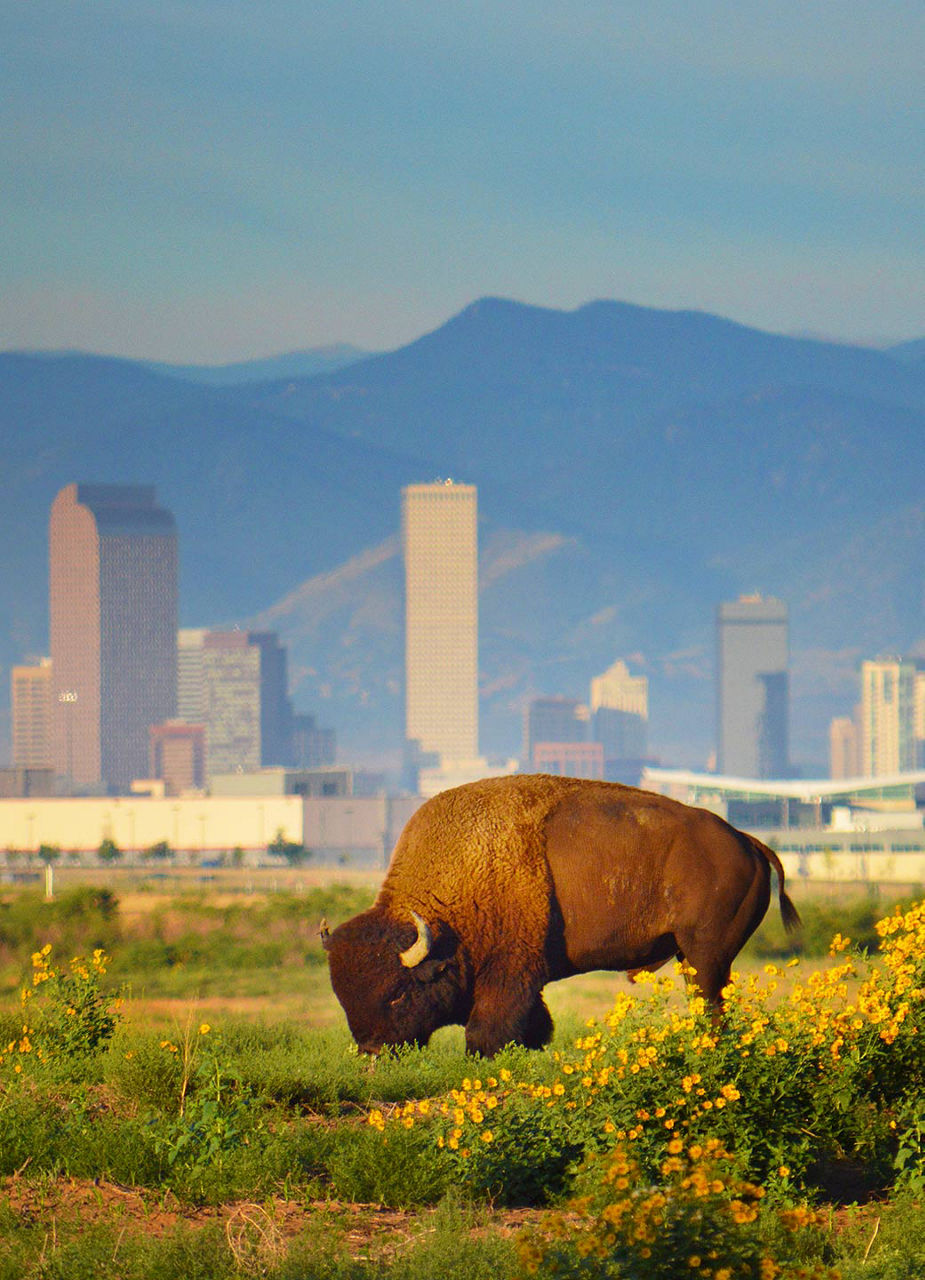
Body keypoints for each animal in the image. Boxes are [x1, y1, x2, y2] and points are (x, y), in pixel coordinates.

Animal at [322, 773, 798, 1054]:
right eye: (343, 996)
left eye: (396, 994)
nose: (372, 1052)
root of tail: (747, 841)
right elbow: (533, 1021)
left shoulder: (509, 971)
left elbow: (487, 1030)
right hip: (691, 954)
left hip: (705, 953)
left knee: (710, 1001)